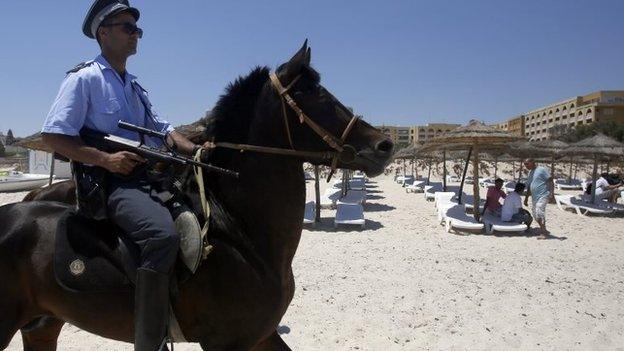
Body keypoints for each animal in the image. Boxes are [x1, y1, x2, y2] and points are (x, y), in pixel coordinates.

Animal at [0, 43, 392, 351]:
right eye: (317, 96)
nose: (384, 145)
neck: (239, 232)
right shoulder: (227, 343)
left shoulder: (261, 336)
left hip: (42, 325)